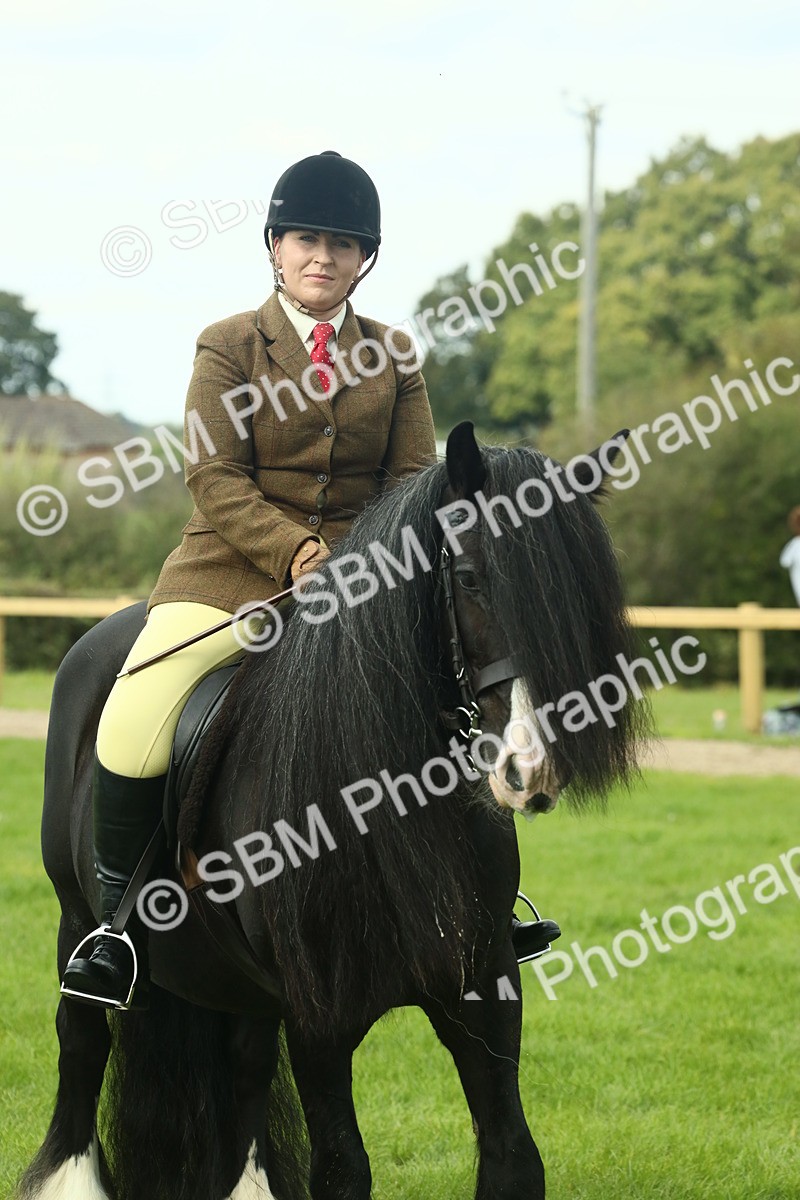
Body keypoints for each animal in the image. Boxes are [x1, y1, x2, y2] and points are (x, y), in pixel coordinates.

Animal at [19, 422, 646, 1200]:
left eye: (585, 594)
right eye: (471, 579)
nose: (533, 769)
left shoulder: (485, 991)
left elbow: (513, 1158)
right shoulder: (319, 1019)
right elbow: (344, 1169)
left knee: (246, 1066)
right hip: (77, 916)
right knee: (81, 1044)